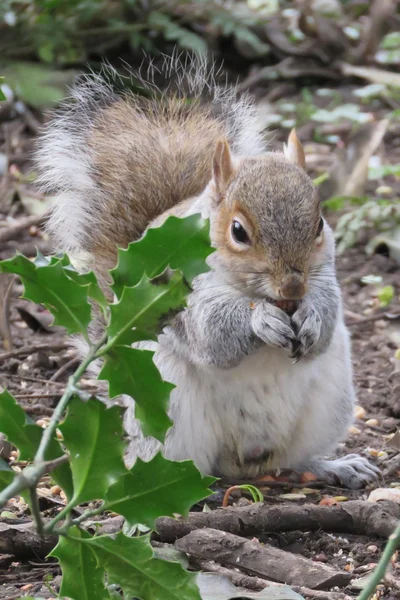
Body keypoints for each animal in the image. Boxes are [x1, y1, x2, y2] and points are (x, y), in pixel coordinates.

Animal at [35, 55, 378, 488]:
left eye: (319, 225)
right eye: (238, 231)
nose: (292, 286)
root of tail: (246, 463)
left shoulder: (326, 276)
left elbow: (328, 314)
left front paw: (313, 316)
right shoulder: (180, 290)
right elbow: (212, 333)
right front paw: (261, 321)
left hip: (329, 403)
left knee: (296, 459)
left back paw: (333, 466)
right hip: (164, 403)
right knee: (180, 463)